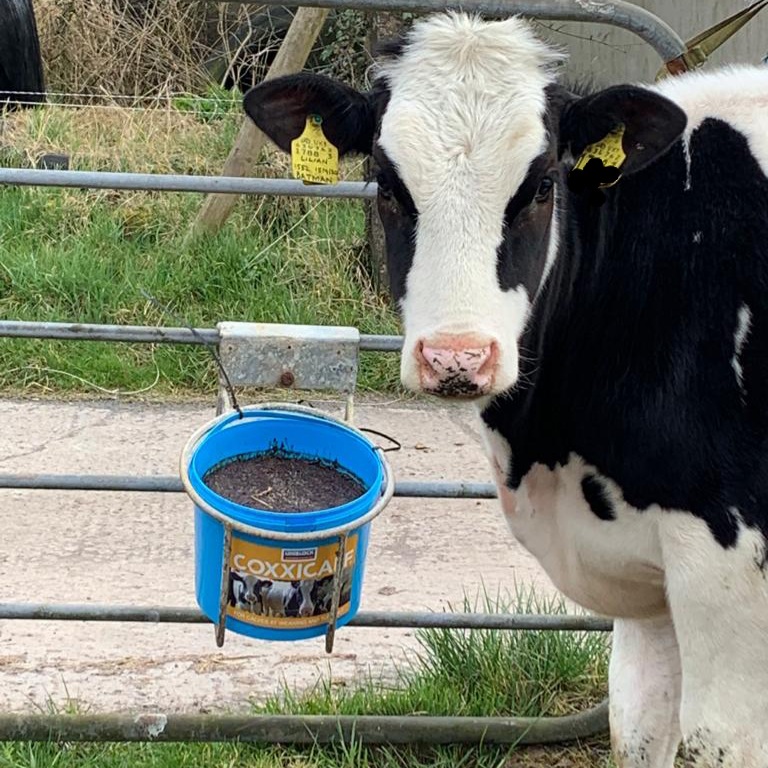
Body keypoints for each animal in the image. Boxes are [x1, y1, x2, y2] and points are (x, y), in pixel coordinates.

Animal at [243, 12, 768, 767]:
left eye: (543, 186)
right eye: (386, 185)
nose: (456, 357)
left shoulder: (730, 577)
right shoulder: (650, 588)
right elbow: (636, 731)